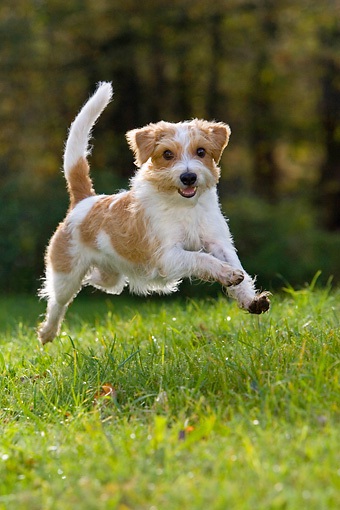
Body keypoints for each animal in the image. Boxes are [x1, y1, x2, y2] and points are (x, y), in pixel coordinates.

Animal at [37, 81, 270, 344]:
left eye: (201, 152)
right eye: (167, 154)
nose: (188, 176)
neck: (185, 207)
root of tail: (84, 201)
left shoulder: (219, 243)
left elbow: (239, 271)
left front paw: (250, 299)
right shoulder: (168, 255)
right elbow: (202, 259)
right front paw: (227, 274)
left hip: (112, 275)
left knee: (100, 280)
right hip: (65, 275)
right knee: (57, 302)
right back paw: (47, 332)